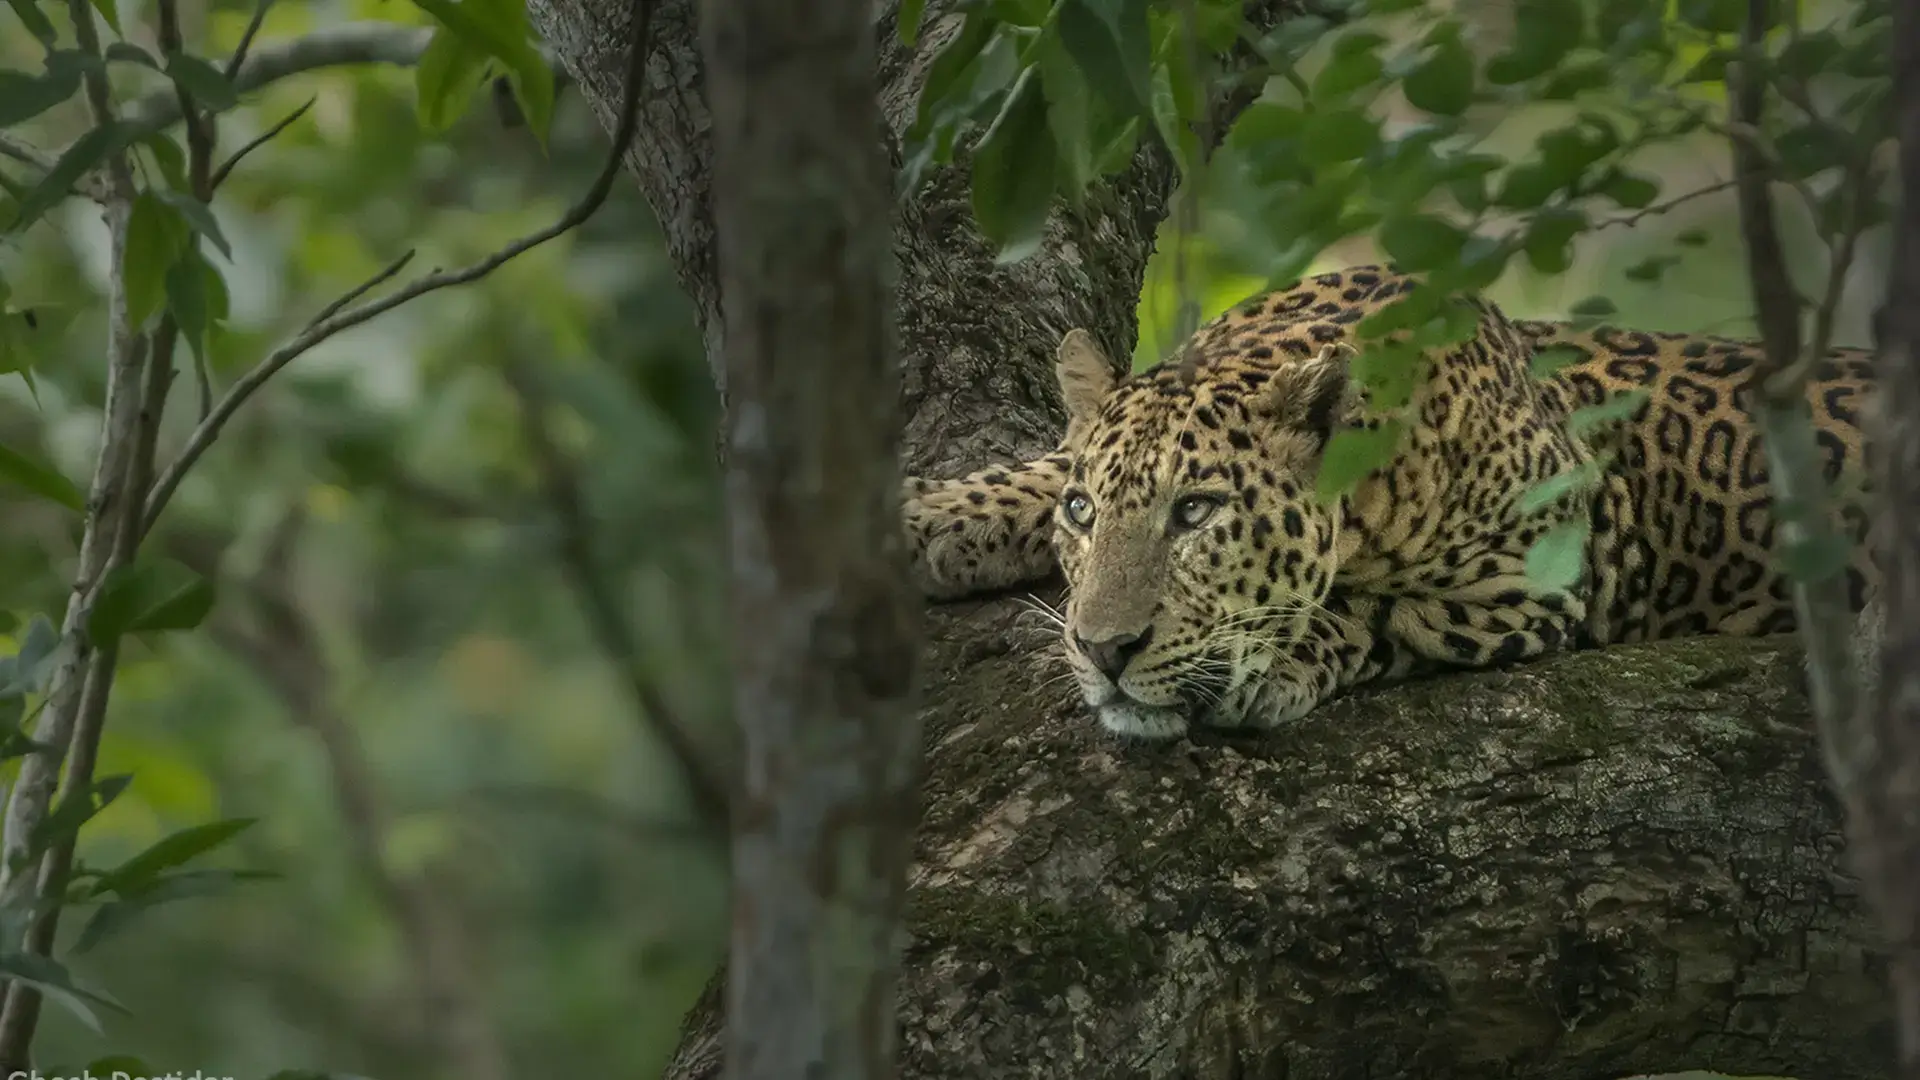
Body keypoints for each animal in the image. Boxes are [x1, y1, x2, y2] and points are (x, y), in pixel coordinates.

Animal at [901, 264, 1881, 740]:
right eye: (1082, 512)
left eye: (1197, 513)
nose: (1105, 651)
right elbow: (1037, 465)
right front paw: (926, 517)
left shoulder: (1532, 582)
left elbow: (1371, 611)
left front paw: (1278, 662)